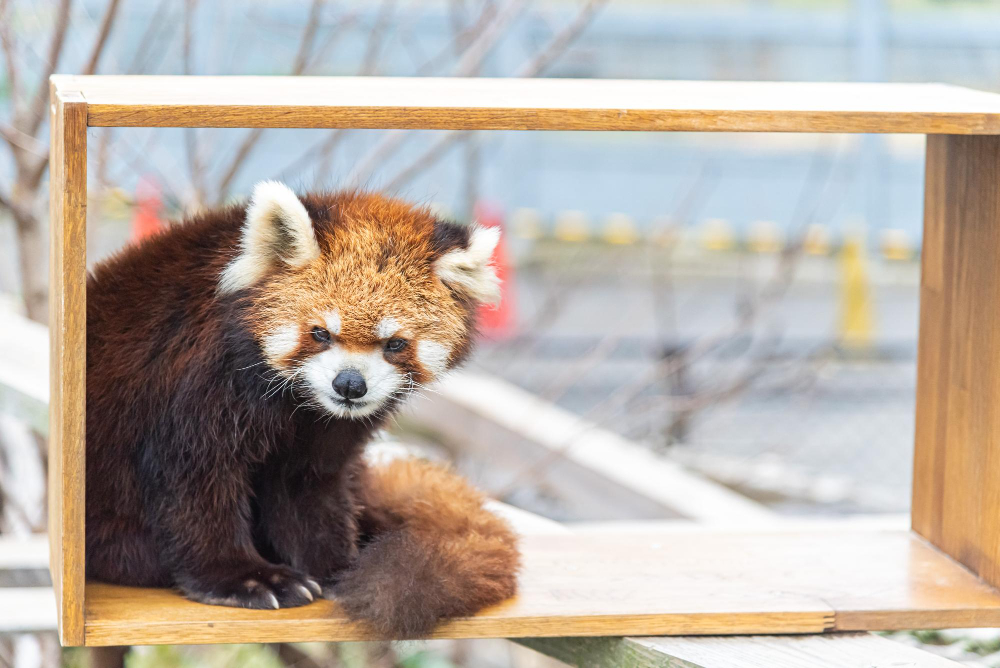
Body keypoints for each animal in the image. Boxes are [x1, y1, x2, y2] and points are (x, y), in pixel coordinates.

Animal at [85, 181, 520, 636]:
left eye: (395, 343)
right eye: (320, 333)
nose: (349, 385)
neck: (299, 403)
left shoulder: (327, 430)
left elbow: (307, 483)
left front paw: (335, 566)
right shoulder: (199, 379)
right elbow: (193, 479)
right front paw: (243, 577)